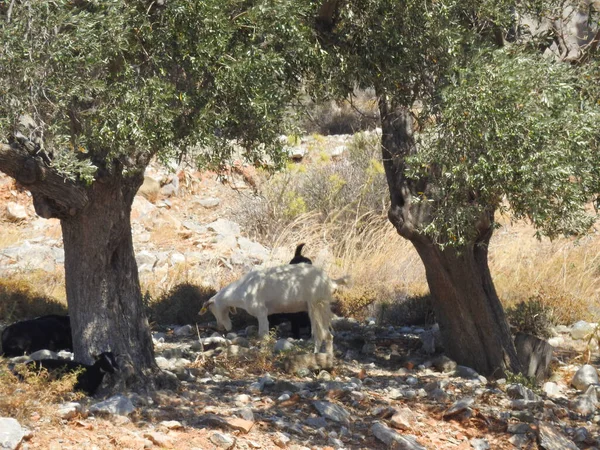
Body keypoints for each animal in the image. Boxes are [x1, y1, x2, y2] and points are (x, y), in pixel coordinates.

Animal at [199, 264, 344, 356]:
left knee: (323, 335)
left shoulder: (261, 312)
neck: (242, 289)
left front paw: (263, 352)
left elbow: (263, 335)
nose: (221, 327)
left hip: (317, 306)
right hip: (317, 309)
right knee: (324, 335)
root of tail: (330, 281)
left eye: (212, 309)